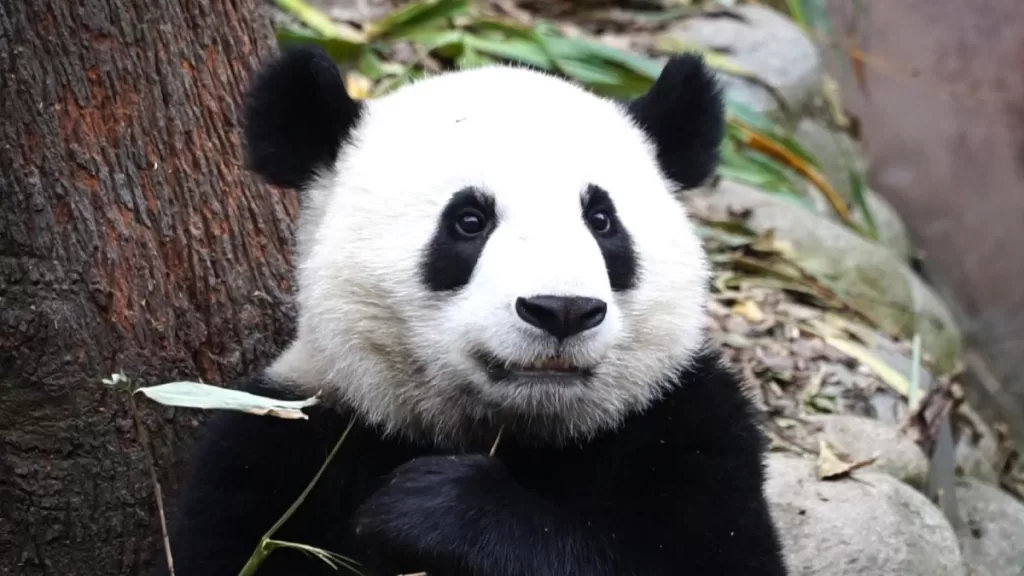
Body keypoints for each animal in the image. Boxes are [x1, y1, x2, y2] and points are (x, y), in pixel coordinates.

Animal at [157, 46, 788, 576]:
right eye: (468, 221)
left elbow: (707, 554)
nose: (562, 310)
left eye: (602, 221)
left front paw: (438, 510)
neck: (514, 426)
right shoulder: (280, 435)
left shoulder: (684, 426)